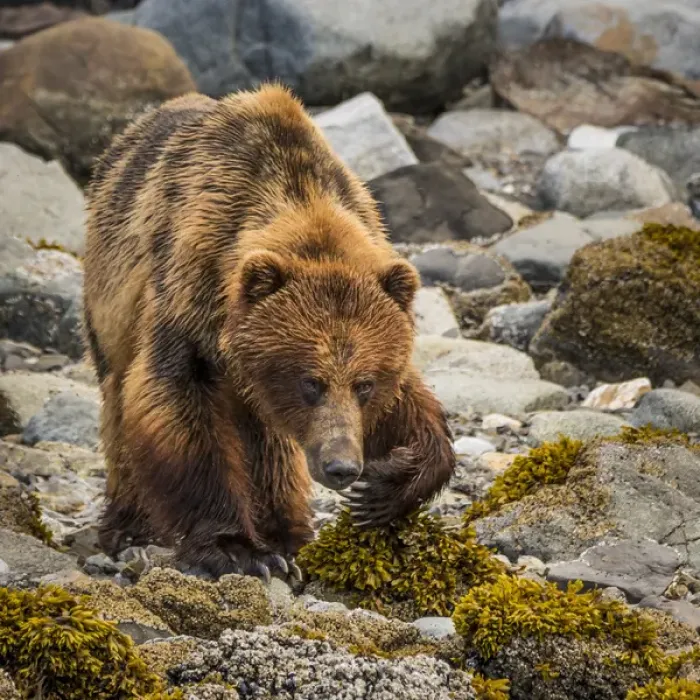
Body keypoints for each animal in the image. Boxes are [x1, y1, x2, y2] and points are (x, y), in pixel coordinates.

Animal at [82, 83, 456, 581]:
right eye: (310, 382)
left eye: (365, 384)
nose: (342, 467)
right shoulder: (187, 295)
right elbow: (178, 408)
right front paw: (236, 548)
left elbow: (411, 405)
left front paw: (384, 489)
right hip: (109, 300)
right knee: (119, 399)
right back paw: (129, 527)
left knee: (268, 441)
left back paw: (287, 534)